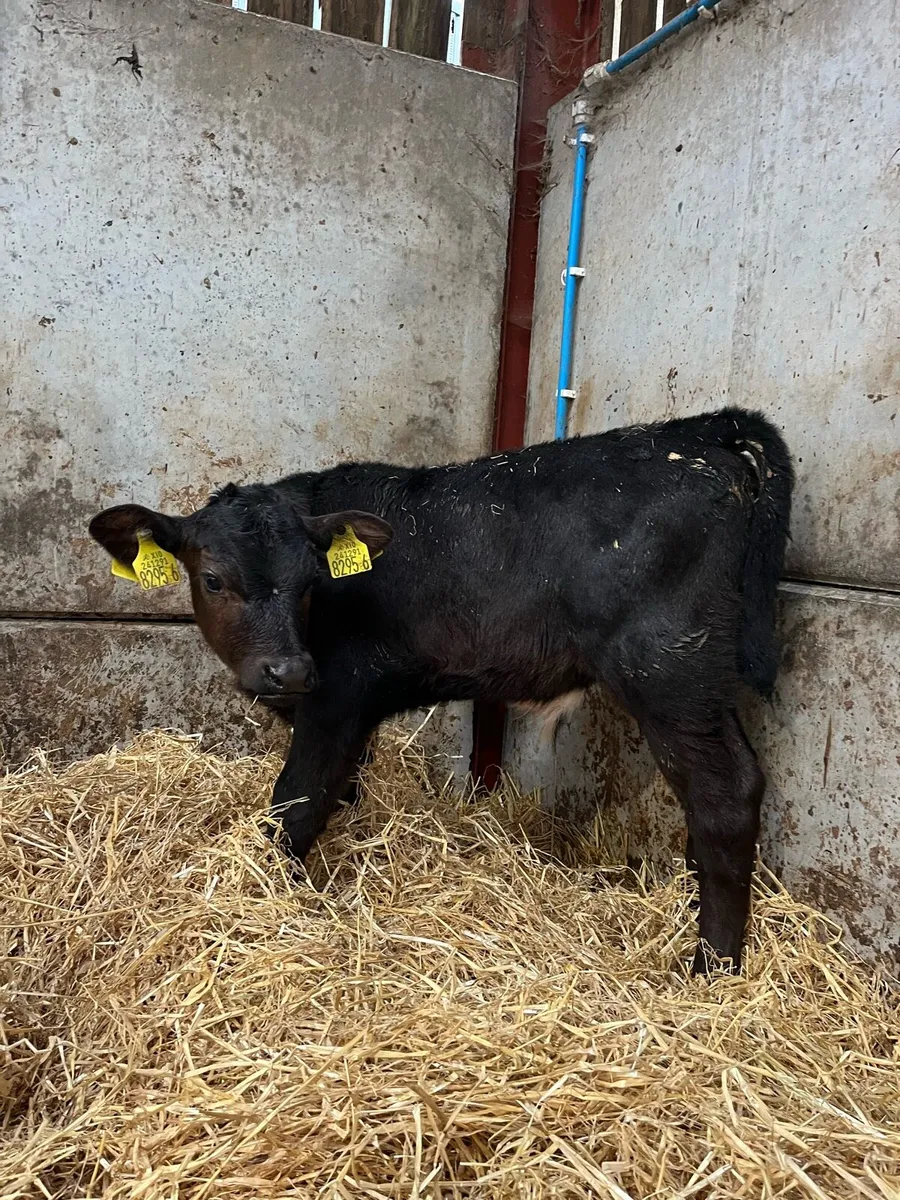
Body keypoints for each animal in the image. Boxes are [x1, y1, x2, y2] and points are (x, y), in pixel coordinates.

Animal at [89, 407, 793, 973]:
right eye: (212, 578)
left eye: (312, 581)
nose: (287, 671)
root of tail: (693, 433)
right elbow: (341, 791)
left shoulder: (339, 698)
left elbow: (297, 804)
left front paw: (273, 897)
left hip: (668, 668)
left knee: (724, 794)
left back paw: (711, 968)